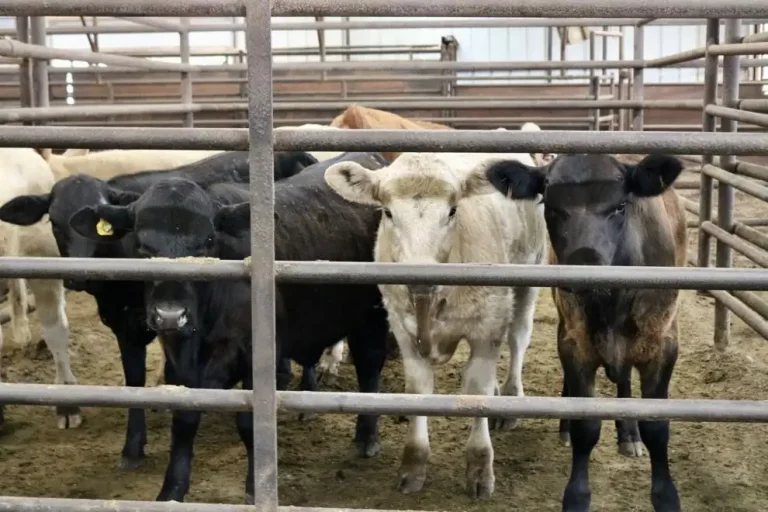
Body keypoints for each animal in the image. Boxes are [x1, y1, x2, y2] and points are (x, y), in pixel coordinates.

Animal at [67, 151, 392, 503]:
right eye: (140, 245)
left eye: (208, 240)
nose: (171, 315)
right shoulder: (179, 360)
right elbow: (184, 420)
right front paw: (172, 489)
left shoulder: (255, 357)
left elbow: (249, 423)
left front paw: (253, 488)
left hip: (373, 318)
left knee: (370, 368)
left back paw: (366, 437)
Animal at [324, 148, 548, 499]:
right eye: (387, 212)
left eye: (453, 210)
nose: (420, 275)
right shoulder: (403, 330)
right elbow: (418, 390)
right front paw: (413, 466)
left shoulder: (487, 326)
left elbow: (477, 390)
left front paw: (479, 467)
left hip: (529, 277)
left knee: (518, 338)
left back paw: (511, 396)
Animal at [482, 153, 686, 512]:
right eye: (551, 207)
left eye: (620, 206)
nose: (584, 264)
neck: (612, 301)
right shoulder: (575, 342)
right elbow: (585, 426)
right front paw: (576, 495)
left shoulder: (663, 345)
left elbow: (656, 426)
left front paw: (665, 495)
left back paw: (629, 435)